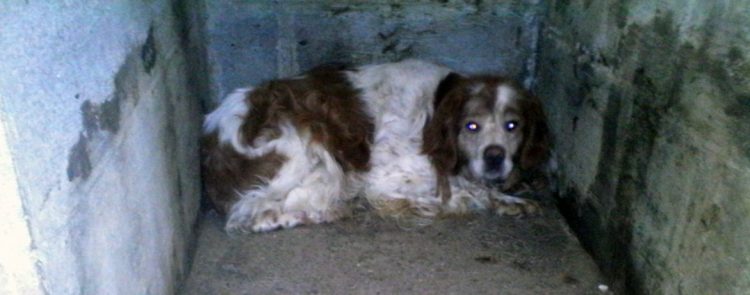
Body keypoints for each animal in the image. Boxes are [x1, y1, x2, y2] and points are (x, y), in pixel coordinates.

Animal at [203, 59, 548, 232]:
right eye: (471, 126)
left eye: (512, 125)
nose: (495, 157)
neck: (435, 109)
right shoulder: (385, 179)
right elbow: (455, 193)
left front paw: (509, 198)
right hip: (311, 150)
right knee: (255, 214)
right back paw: (321, 213)